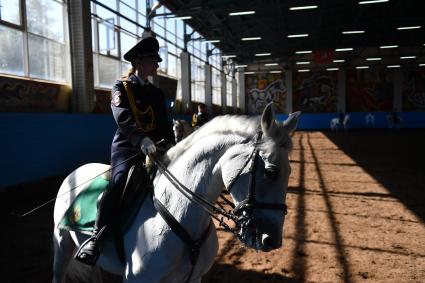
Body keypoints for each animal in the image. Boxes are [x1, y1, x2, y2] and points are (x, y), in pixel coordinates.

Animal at [51, 104, 300, 283]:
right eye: (270, 172)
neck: (178, 212)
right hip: (62, 245)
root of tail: (75, 172)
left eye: (289, 172)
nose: (271, 240)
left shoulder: (194, 278)